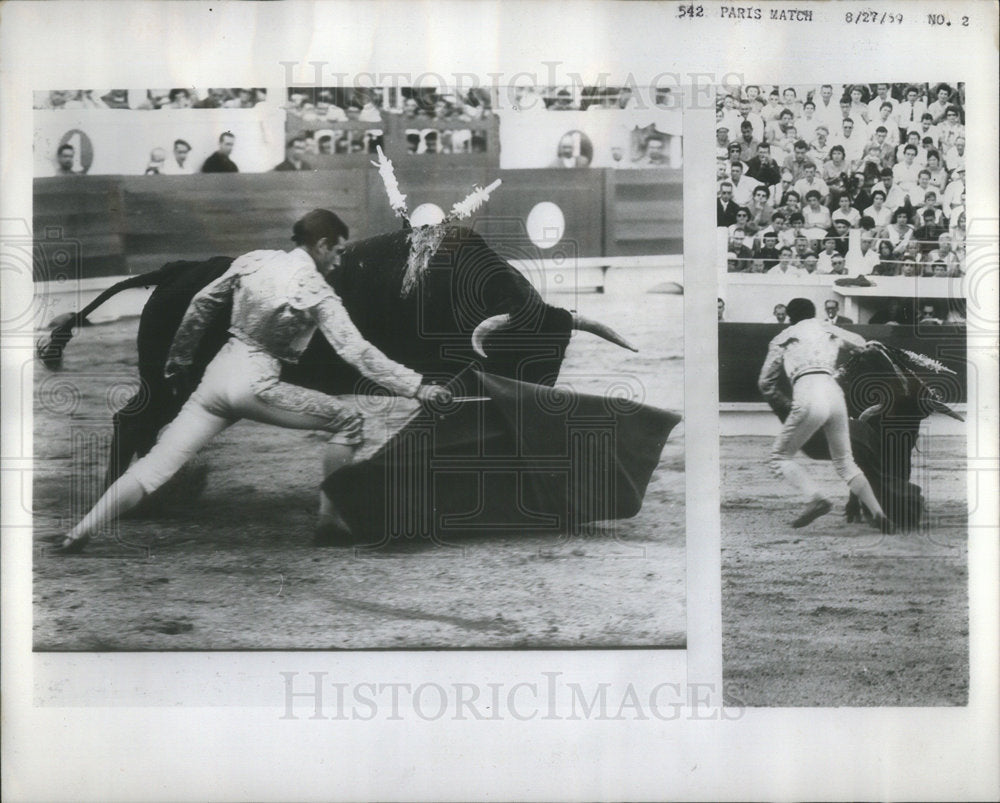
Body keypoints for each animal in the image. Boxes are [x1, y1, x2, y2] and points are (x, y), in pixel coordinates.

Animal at [41, 228, 632, 490]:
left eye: (558, 355)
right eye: (517, 352)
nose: (542, 401)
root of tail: (175, 271)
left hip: (163, 386)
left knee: (138, 423)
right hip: (166, 383)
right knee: (131, 421)